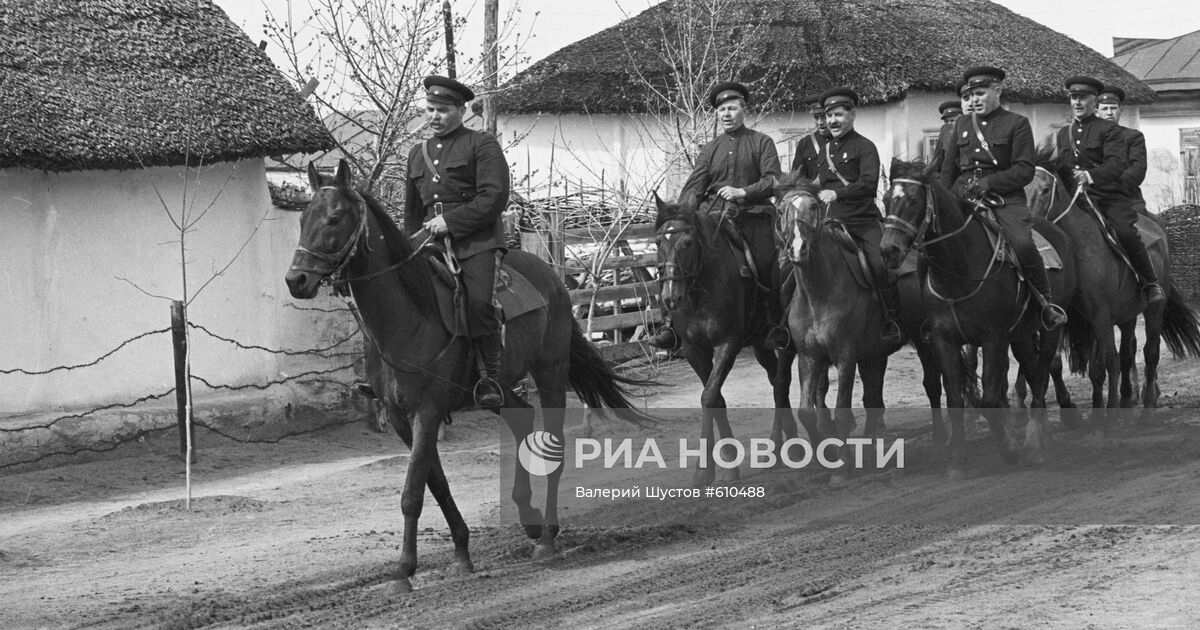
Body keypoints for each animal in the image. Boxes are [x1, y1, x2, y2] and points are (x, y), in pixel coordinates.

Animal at [284, 159, 652, 592]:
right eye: (302, 219)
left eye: (335, 217)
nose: (296, 280)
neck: (405, 317)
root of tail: (551, 277)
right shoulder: (400, 417)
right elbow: (435, 482)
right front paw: (460, 550)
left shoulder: (426, 411)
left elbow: (412, 490)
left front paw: (403, 571)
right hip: (498, 388)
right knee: (521, 418)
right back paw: (528, 520)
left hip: (550, 372)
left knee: (552, 445)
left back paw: (546, 536)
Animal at [652, 196, 811, 487]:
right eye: (659, 242)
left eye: (688, 242)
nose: (670, 296)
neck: (700, 290)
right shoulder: (694, 350)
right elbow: (715, 398)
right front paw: (715, 465)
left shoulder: (728, 343)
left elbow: (708, 396)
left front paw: (716, 468)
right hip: (760, 345)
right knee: (775, 380)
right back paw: (784, 442)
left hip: (785, 341)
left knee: (781, 382)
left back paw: (788, 445)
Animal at [883, 158, 1080, 477]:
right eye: (888, 199)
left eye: (913, 201)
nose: (888, 250)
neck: (958, 270)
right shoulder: (944, 340)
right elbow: (955, 399)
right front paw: (956, 463)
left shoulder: (993, 338)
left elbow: (989, 398)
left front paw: (1010, 449)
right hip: (1021, 333)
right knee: (1032, 367)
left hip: (1049, 327)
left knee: (1041, 374)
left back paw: (1034, 446)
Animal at [1022, 149, 1200, 415]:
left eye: (1044, 189)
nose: (1028, 229)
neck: (1080, 250)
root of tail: (1156, 225)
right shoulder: (1069, 319)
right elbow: (1080, 366)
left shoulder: (1101, 317)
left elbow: (1105, 365)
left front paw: (1107, 411)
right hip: (1127, 314)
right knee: (1127, 352)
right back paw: (1127, 398)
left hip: (1154, 310)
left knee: (1149, 352)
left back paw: (1147, 403)